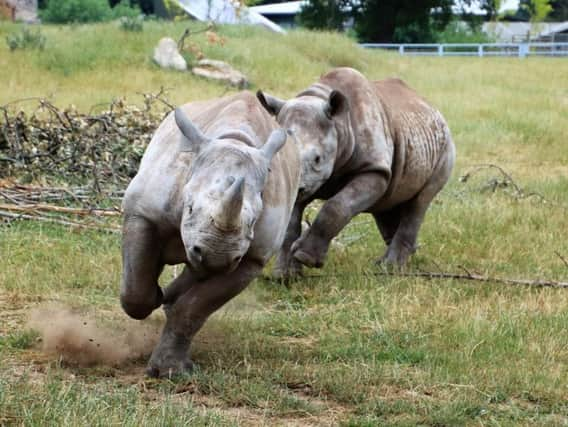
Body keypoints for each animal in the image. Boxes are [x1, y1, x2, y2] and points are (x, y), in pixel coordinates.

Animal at [120, 91, 302, 378]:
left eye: (253, 222)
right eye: (189, 207)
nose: (216, 256)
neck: (234, 140)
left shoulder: (252, 257)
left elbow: (193, 309)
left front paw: (170, 371)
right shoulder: (141, 213)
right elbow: (136, 289)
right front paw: (152, 298)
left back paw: (170, 299)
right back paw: (164, 296)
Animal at [258, 67, 458, 278]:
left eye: (318, 159)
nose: (298, 189)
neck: (339, 124)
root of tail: (431, 107)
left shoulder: (373, 168)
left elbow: (336, 206)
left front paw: (306, 257)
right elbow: (290, 225)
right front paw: (284, 275)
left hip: (446, 148)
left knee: (420, 202)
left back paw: (391, 268)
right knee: (387, 204)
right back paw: (389, 264)